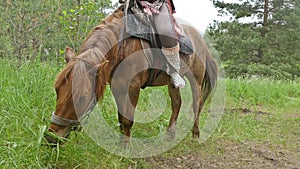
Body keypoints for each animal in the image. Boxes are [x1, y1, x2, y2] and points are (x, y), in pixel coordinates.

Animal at [45, 5, 218, 145]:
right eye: (56, 90)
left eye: (82, 97)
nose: (51, 137)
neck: (122, 45)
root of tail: (201, 41)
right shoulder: (117, 86)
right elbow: (121, 118)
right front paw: (122, 141)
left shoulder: (133, 86)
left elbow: (128, 119)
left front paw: (126, 147)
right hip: (172, 82)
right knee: (177, 104)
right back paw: (170, 135)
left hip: (196, 79)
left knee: (197, 104)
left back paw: (195, 135)